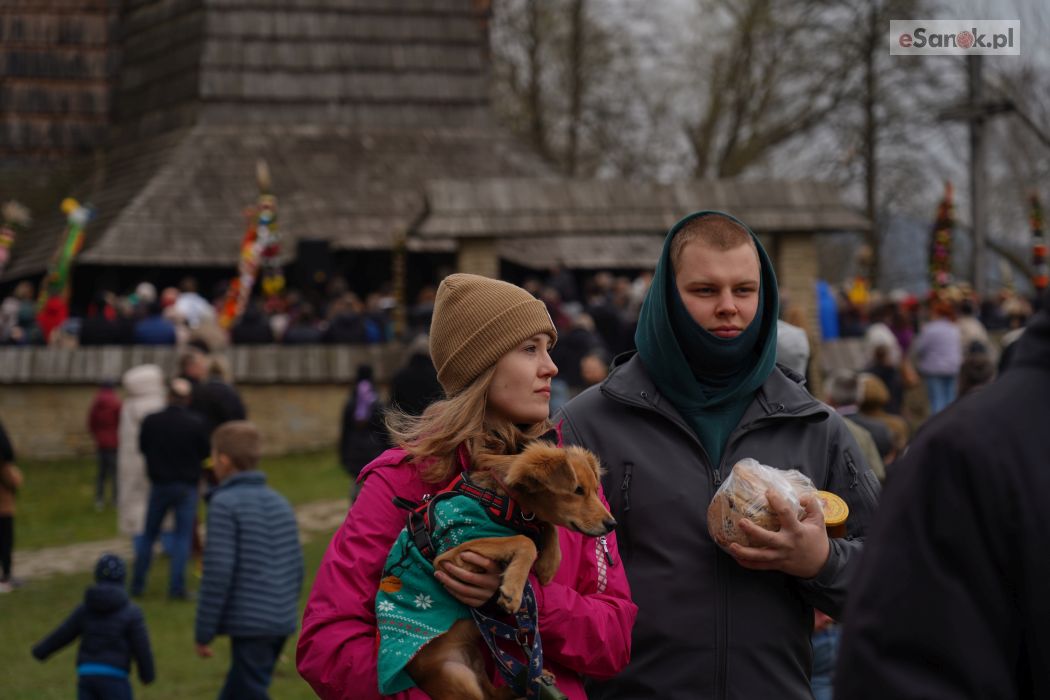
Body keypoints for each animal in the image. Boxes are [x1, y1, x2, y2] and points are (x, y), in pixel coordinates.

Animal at [375, 441, 616, 700]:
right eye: (578, 490)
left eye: (594, 490)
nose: (612, 524)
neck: (503, 502)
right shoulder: (451, 555)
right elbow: (524, 540)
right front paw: (513, 590)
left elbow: (543, 527)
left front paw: (549, 564)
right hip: (457, 676)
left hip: (476, 660)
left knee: (495, 692)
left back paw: (534, 679)